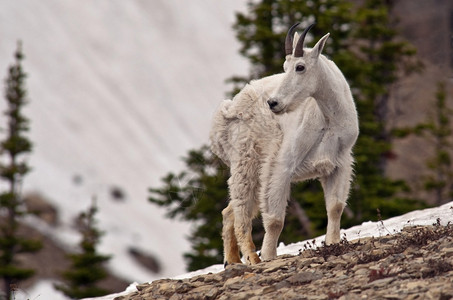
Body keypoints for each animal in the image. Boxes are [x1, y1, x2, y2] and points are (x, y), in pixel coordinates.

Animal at [210, 22, 358, 264]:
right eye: (284, 66)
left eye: (300, 67)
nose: (273, 103)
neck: (328, 116)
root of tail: (224, 113)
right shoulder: (282, 165)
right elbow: (275, 220)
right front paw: (270, 257)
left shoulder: (340, 162)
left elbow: (335, 207)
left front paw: (333, 243)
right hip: (245, 163)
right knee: (241, 210)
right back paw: (252, 258)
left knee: (230, 210)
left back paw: (231, 261)